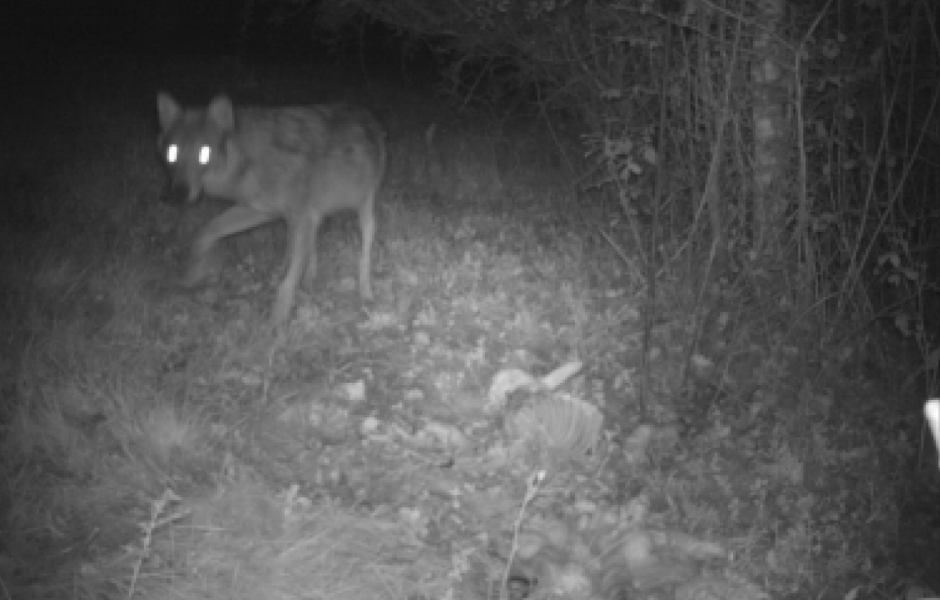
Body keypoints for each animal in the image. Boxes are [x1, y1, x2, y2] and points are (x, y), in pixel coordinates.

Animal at [158, 92, 386, 324]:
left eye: (204, 153)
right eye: (172, 152)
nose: (179, 192)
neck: (250, 161)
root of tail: (363, 111)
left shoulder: (299, 217)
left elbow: (288, 280)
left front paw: (277, 321)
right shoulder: (263, 211)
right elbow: (207, 231)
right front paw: (193, 273)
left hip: (364, 214)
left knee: (362, 255)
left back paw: (365, 294)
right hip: (303, 220)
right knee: (306, 248)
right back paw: (308, 280)